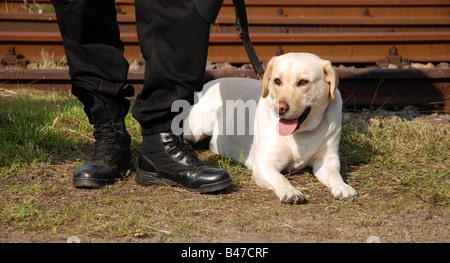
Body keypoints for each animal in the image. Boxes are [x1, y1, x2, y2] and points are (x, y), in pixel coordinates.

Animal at [182, 52, 356, 204]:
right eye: (277, 81)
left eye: (303, 82)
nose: (280, 107)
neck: (301, 133)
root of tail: (209, 84)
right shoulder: (264, 162)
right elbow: (280, 177)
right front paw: (289, 191)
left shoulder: (327, 159)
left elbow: (335, 174)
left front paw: (343, 186)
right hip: (195, 129)